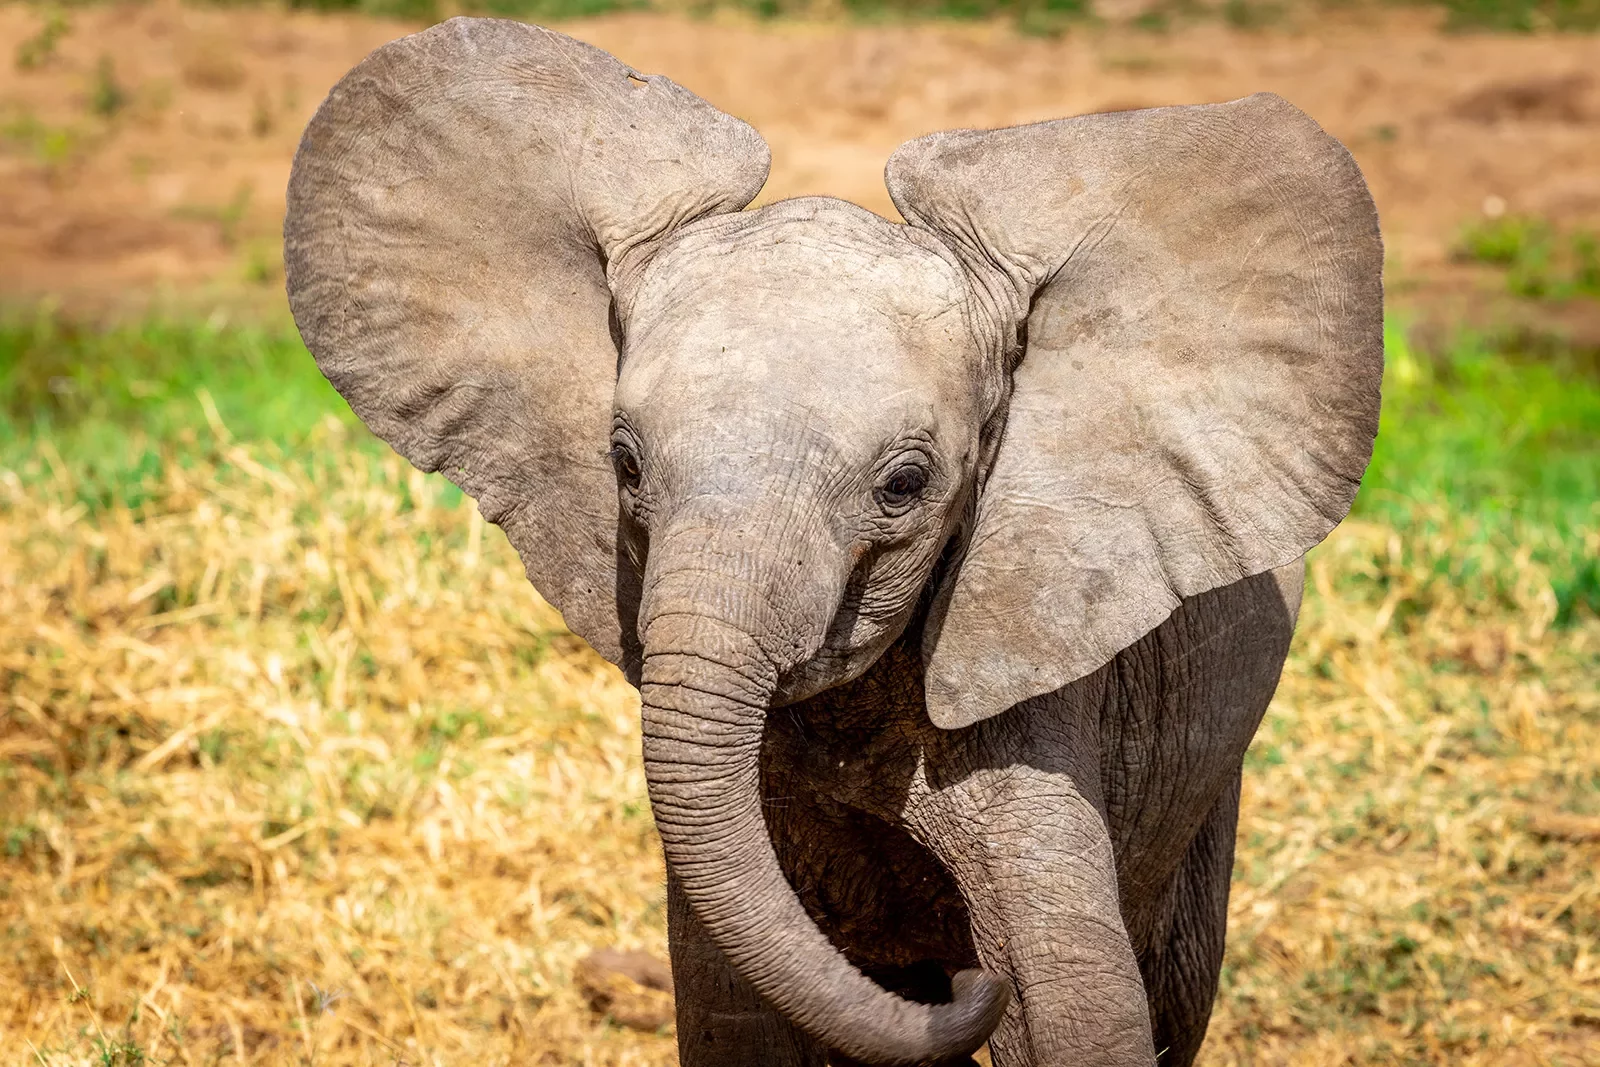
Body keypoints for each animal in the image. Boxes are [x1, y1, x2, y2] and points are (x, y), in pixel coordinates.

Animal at [288, 18, 1388, 1067]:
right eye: (624, 463)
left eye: (904, 485)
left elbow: (1069, 1013)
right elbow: (734, 1011)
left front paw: (1012, 986)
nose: (970, 985)